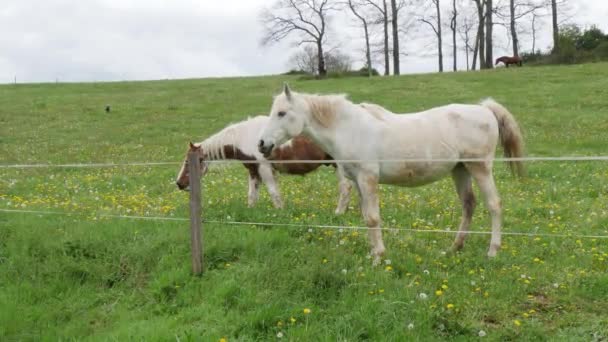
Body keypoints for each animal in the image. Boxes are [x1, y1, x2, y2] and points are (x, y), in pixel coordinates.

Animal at [258, 84, 524, 264]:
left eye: (281, 113)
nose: (262, 144)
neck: (348, 127)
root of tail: (485, 110)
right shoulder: (358, 182)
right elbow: (366, 217)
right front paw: (373, 254)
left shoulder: (368, 179)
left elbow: (373, 218)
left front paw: (378, 258)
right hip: (460, 170)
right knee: (469, 205)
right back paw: (455, 247)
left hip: (480, 168)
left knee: (494, 205)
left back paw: (492, 251)